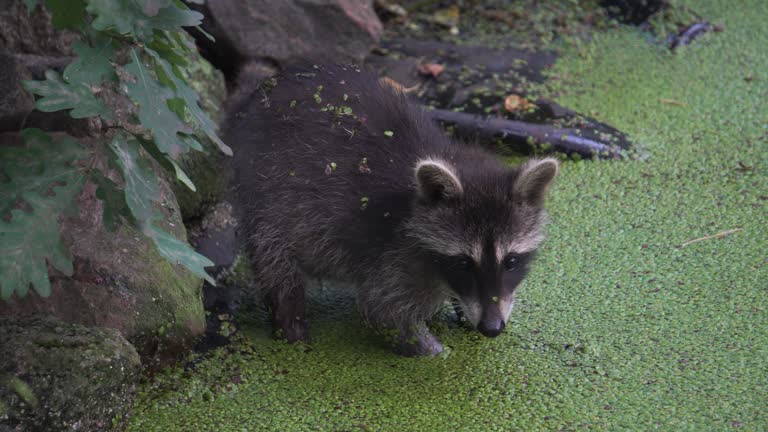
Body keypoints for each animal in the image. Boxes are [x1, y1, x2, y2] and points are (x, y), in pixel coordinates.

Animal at [224, 64, 560, 354]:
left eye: (511, 260)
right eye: (464, 263)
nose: (492, 328)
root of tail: (260, 90)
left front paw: (463, 313)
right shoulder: (393, 252)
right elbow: (385, 311)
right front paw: (436, 354)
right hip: (264, 193)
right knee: (277, 265)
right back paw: (290, 327)